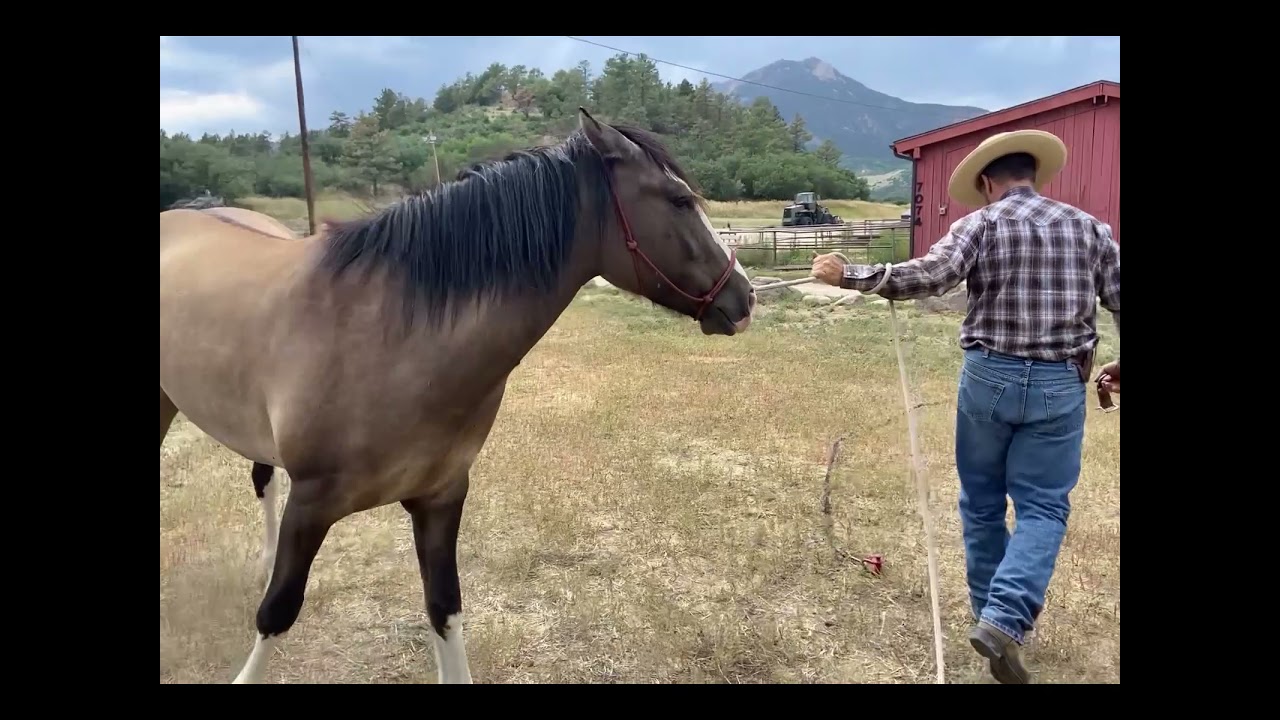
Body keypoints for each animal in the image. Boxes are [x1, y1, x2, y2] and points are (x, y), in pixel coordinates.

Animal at [159, 108, 758, 684]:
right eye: (679, 200)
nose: (746, 297)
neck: (391, 338)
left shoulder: (441, 497)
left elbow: (444, 607)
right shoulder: (310, 506)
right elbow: (278, 612)